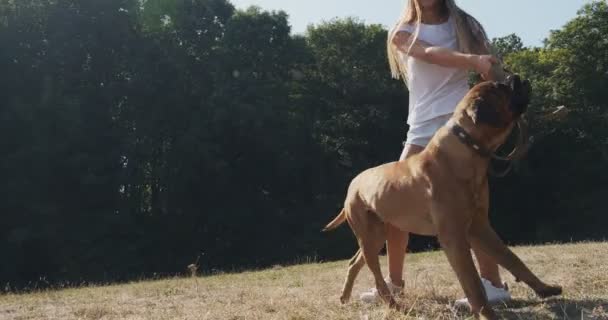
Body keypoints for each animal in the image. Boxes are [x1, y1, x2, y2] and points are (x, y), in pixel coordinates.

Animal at [326, 75, 564, 320]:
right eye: (501, 87)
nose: (513, 76)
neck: (468, 148)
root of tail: (353, 184)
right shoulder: (454, 236)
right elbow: (472, 282)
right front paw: (487, 314)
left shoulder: (480, 226)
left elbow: (511, 258)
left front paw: (544, 288)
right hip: (369, 235)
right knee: (377, 277)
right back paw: (393, 305)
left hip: (375, 235)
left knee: (355, 263)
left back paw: (345, 297)